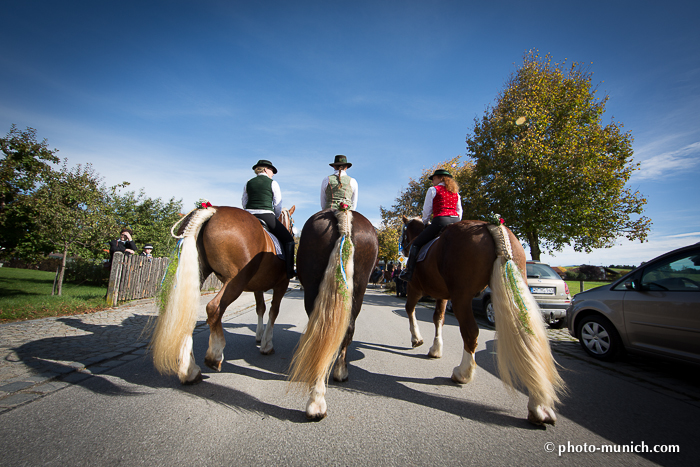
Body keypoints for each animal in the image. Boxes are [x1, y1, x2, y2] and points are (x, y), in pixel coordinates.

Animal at [150, 205, 296, 384]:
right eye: (292, 222)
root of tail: (213, 209)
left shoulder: (258, 287)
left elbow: (260, 308)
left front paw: (260, 336)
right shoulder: (282, 284)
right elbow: (273, 311)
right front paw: (266, 344)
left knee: (186, 313)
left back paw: (190, 370)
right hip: (235, 281)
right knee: (214, 308)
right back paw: (214, 356)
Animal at [400, 217, 564, 428]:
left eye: (404, 232)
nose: (404, 250)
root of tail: (491, 225)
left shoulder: (414, 288)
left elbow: (410, 310)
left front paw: (417, 339)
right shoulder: (443, 295)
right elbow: (438, 318)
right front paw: (435, 349)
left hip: (461, 297)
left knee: (470, 332)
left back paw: (463, 373)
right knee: (528, 338)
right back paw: (539, 406)